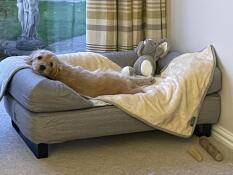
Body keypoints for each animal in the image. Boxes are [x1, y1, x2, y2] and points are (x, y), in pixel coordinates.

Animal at [27, 49, 155, 97]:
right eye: (39, 57)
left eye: (51, 64)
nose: (42, 66)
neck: (60, 71)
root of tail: (126, 87)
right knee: (136, 80)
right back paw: (149, 79)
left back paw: (150, 79)